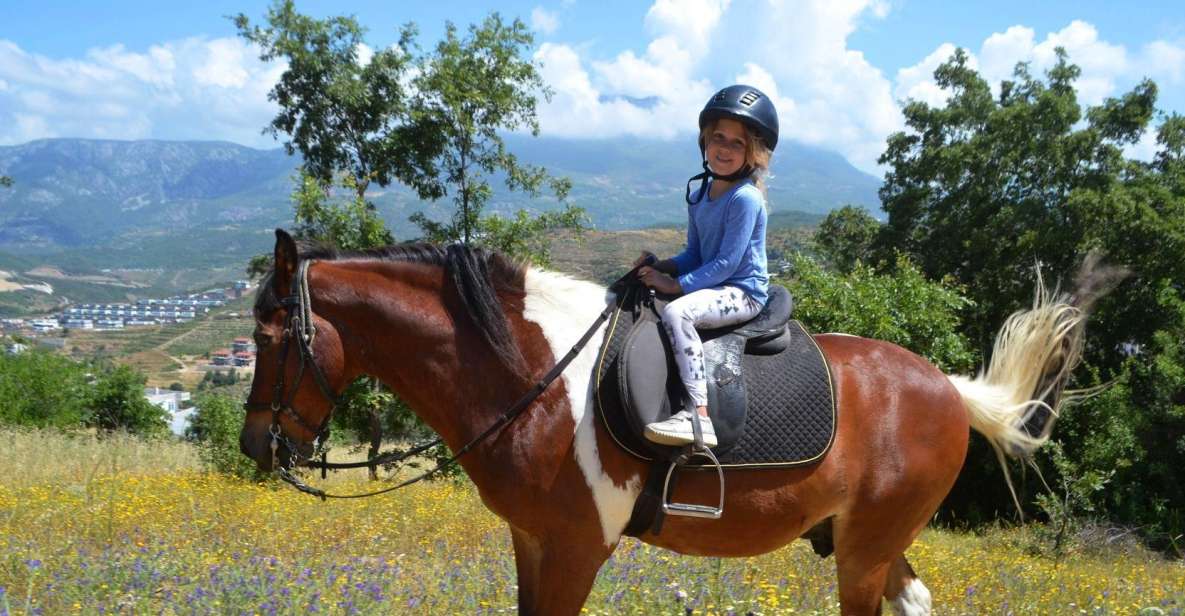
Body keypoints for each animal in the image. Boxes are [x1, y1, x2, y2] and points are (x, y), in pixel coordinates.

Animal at [240, 228, 1099, 611]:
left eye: (268, 338)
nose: (257, 445)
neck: (532, 372)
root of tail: (948, 390)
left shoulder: (579, 547)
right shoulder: (531, 542)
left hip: (863, 549)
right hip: (867, 541)